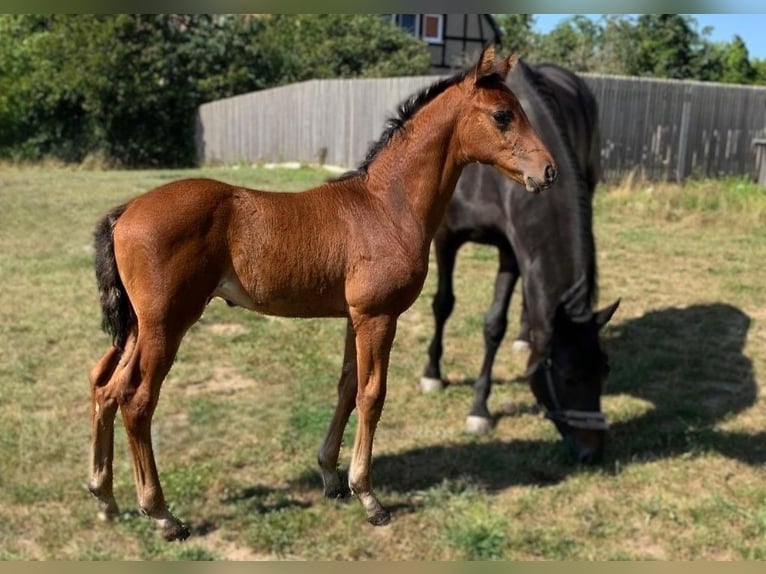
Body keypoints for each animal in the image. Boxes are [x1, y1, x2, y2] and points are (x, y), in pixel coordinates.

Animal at [88, 46, 560, 544]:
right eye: (503, 115)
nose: (548, 171)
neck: (386, 206)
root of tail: (125, 212)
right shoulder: (378, 316)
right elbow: (373, 395)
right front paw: (368, 497)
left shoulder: (355, 317)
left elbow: (347, 387)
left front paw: (332, 477)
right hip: (166, 324)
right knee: (136, 400)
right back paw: (161, 513)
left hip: (137, 326)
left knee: (104, 385)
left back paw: (104, 498)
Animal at [416, 59, 620, 464]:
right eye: (568, 376)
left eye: (604, 371)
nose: (592, 452)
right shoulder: (446, 236)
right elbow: (443, 304)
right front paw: (433, 374)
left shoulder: (512, 249)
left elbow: (495, 324)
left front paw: (479, 407)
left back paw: (525, 337)